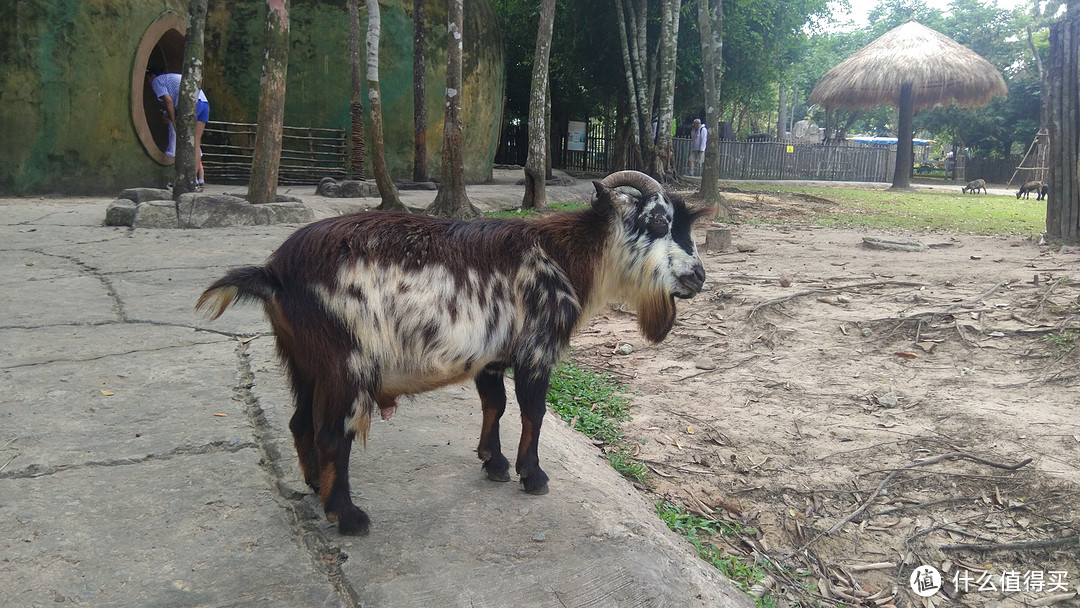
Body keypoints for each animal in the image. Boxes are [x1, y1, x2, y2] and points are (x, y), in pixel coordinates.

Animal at [198, 170, 712, 533]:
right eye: (659, 221)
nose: (698, 276)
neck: (564, 255)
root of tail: (273, 273)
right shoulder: (537, 349)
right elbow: (533, 412)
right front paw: (532, 476)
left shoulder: (492, 356)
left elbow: (494, 404)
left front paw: (493, 462)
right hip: (346, 362)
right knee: (332, 434)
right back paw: (347, 515)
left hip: (304, 361)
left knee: (300, 422)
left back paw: (314, 485)